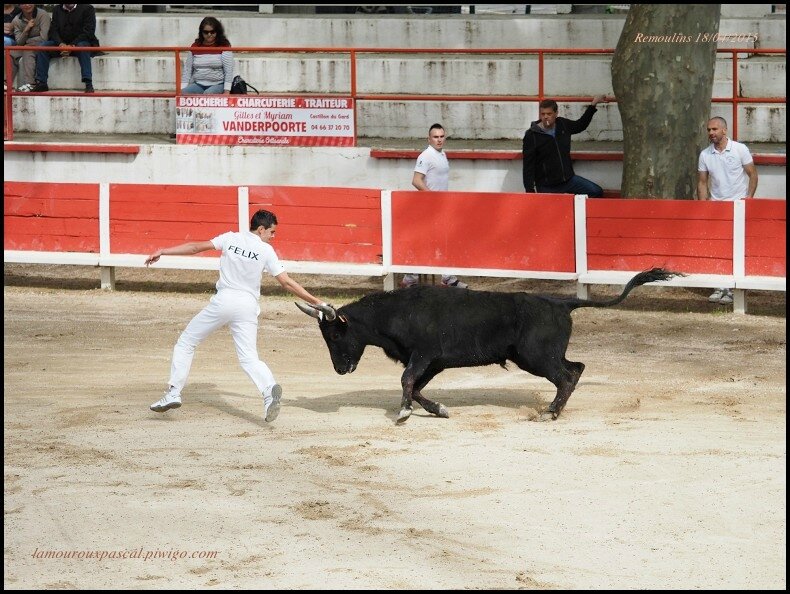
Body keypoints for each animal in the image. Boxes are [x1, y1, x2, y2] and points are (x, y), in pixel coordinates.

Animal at [296, 266, 680, 424]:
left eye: (334, 335)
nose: (339, 369)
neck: (397, 312)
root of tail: (560, 303)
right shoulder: (432, 362)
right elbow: (416, 386)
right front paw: (439, 409)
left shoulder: (423, 355)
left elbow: (406, 382)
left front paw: (403, 414)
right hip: (543, 356)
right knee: (576, 368)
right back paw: (554, 409)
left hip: (535, 357)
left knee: (567, 376)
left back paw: (549, 413)